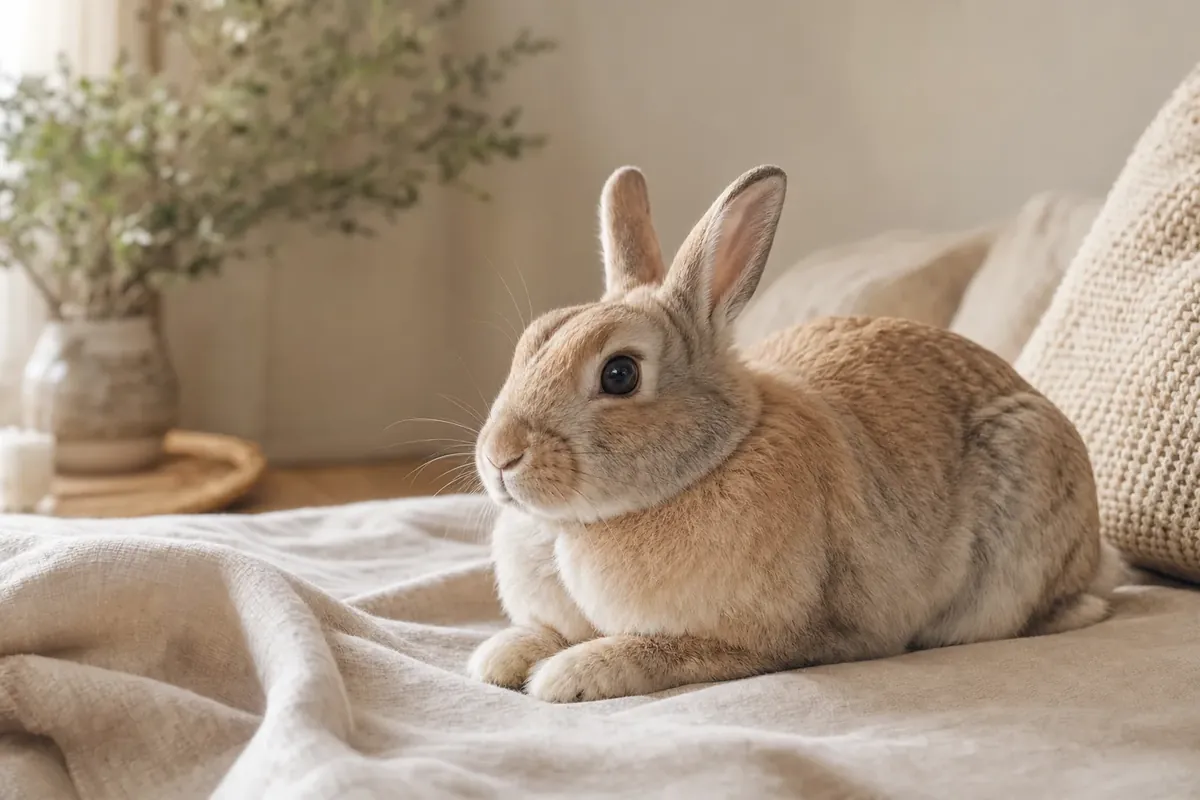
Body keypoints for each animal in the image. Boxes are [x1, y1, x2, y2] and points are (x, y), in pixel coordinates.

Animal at [467, 164, 1127, 704]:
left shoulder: (762, 642)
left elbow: (666, 653)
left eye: (620, 374)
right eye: (531, 341)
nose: (500, 456)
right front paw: (499, 657)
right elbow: (539, 634)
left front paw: (570, 675)